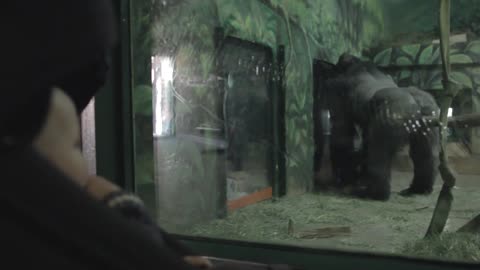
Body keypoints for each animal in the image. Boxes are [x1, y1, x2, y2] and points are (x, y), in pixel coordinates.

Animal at [316, 53, 440, 200]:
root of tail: (415, 105)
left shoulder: (334, 87)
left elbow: (341, 132)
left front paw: (346, 177)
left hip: (392, 115)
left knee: (379, 155)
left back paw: (376, 193)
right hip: (429, 110)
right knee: (426, 155)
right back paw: (420, 188)